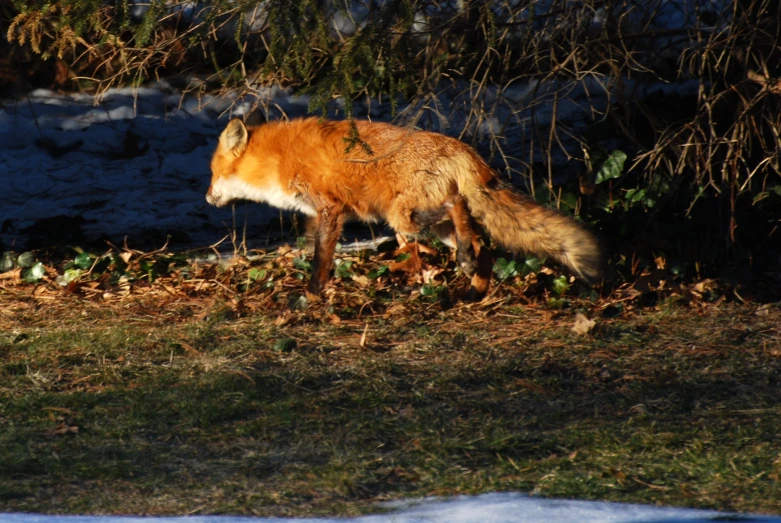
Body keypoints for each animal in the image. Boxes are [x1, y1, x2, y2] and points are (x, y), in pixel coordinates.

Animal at [204, 118, 600, 298]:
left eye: (211, 174)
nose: (206, 198)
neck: (277, 160)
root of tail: (464, 149)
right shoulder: (319, 214)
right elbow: (315, 249)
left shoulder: (330, 209)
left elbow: (320, 259)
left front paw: (311, 293)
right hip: (426, 227)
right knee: (481, 246)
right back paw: (474, 290)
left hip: (402, 216)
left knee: (456, 205)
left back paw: (465, 270)